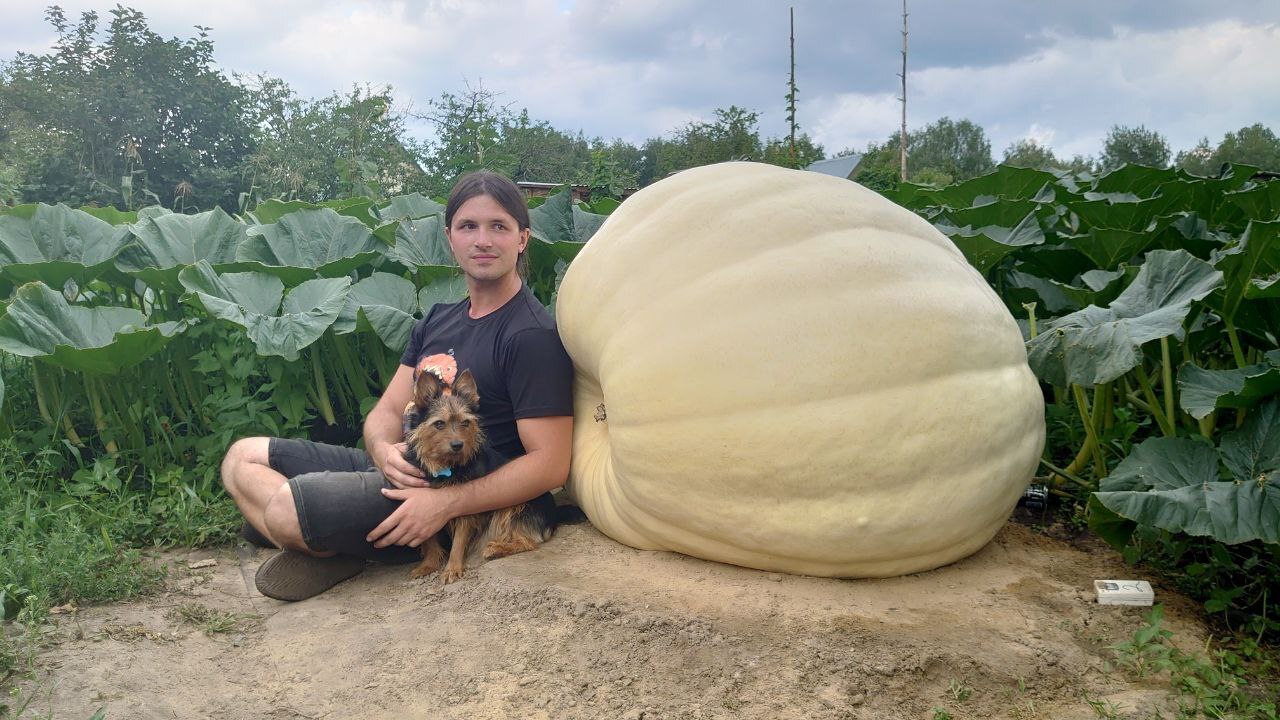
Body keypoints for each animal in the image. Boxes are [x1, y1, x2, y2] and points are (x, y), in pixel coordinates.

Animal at [401, 366, 558, 579]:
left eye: (465, 423)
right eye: (439, 424)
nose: (458, 445)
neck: (446, 466)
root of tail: (553, 516)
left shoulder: (464, 505)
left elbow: (459, 539)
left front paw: (453, 567)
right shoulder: (422, 506)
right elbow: (429, 539)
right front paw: (428, 565)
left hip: (516, 506)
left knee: (527, 541)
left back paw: (497, 548)